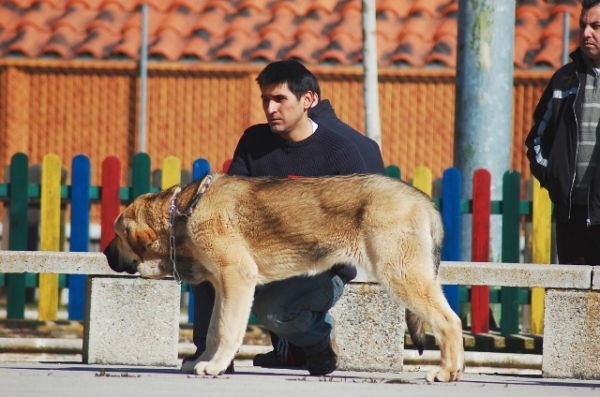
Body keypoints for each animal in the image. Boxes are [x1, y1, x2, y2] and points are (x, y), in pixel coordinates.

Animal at [104, 172, 464, 380]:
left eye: (117, 235)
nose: (105, 254)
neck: (179, 212)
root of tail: (423, 199)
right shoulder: (223, 286)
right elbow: (213, 330)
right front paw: (204, 361)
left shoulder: (237, 278)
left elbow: (226, 329)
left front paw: (216, 367)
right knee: (452, 319)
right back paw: (456, 368)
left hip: (400, 274)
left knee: (449, 322)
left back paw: (446, 372)